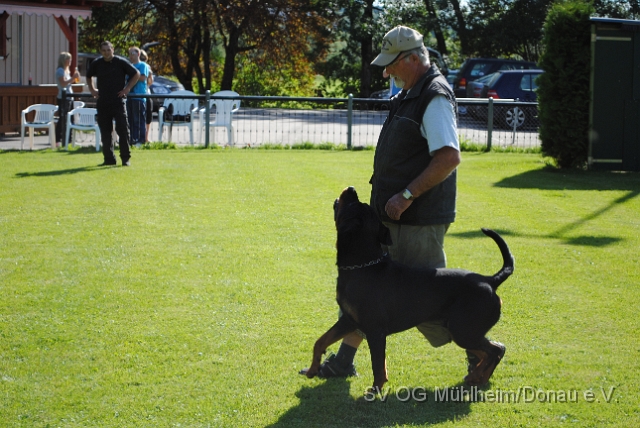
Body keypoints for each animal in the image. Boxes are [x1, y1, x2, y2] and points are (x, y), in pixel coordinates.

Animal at [304, 186, 516, 390]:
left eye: (354, 204)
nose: (351, 188)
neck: (362, 266)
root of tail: (490, 280)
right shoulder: (349, 320)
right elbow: (320, 341)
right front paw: (313, 369)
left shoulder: (375, 330)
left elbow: (378, 366)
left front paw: (374, 391)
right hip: (460, 329)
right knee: (490, 351)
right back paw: (477, 377)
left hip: (463, 330)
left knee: (495, 350)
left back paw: (477, 376)